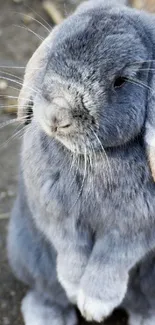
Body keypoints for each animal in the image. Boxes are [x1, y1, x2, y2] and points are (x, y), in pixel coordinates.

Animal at [7, 0, 155, 322]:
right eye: (52, 53)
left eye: (120, 81)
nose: (57, 116)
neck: (94, 157)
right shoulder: (57, 215)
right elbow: (70, 250)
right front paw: (76, 291)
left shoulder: (132, 231)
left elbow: (111, 259)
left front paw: (95, 306)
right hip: (27, 252)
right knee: (45, 293)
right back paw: (48, 316)